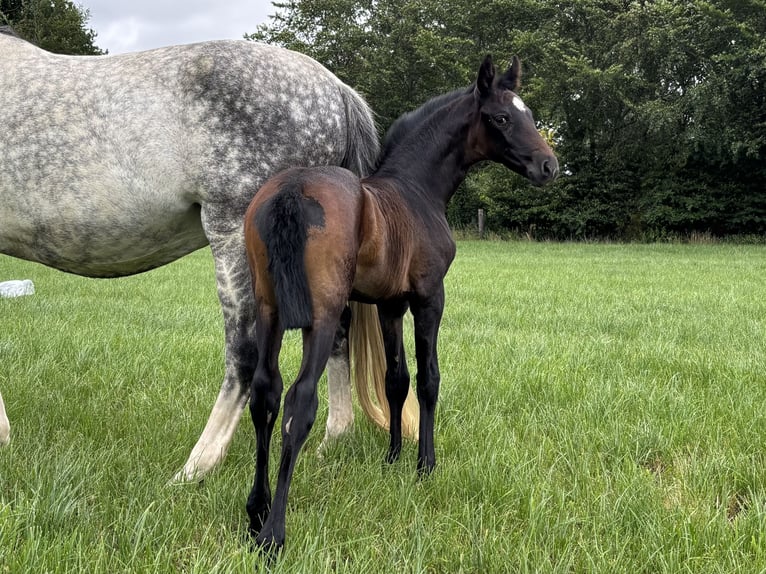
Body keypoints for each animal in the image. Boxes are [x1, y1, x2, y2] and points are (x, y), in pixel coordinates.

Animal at [0, 26, 410, 479]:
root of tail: (335, 90)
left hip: (237, 241)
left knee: (245, 353)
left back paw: (195, 468)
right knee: (335, 331)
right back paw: (332, 440)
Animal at [243, 54, 559, 549]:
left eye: (527, 113)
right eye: (501, 118)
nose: (549, 165)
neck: (416, 190)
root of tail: (292, 190)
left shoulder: (389, 305)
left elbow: (396, 380)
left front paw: (391, 458)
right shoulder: (429, 298)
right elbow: (428, 379)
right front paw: (425, 465)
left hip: (269, 311)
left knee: (265, 395)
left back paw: (255, 512)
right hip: (324, 316)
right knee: (299, 402)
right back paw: (274, 532)